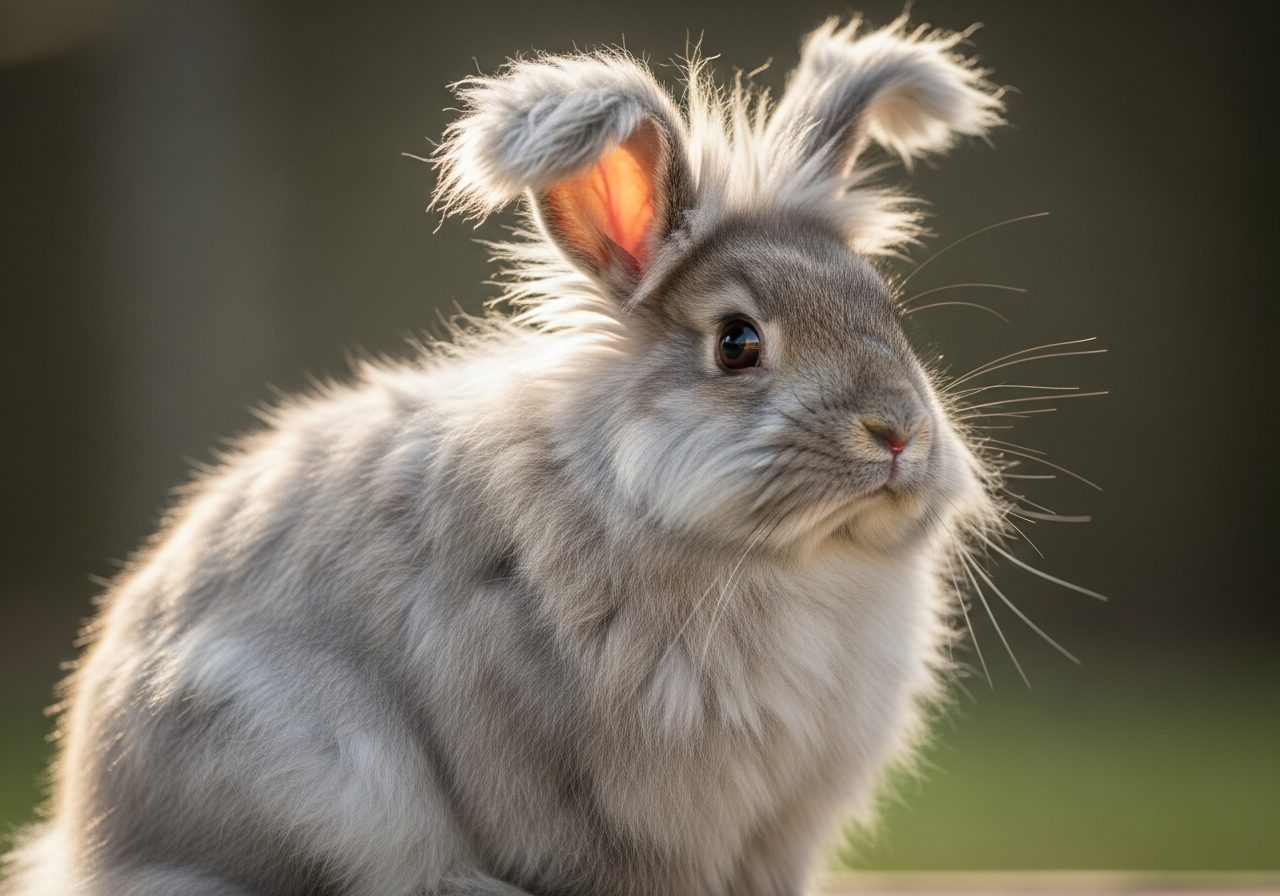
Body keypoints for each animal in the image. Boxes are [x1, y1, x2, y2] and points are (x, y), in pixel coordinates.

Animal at [2, 14, 1010, 896]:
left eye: (888, 312)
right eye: (737, 344)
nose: (897, 432)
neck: (785, 559)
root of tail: (92, 839)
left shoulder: (780, 826)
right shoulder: (591, 800)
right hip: (305, 767)